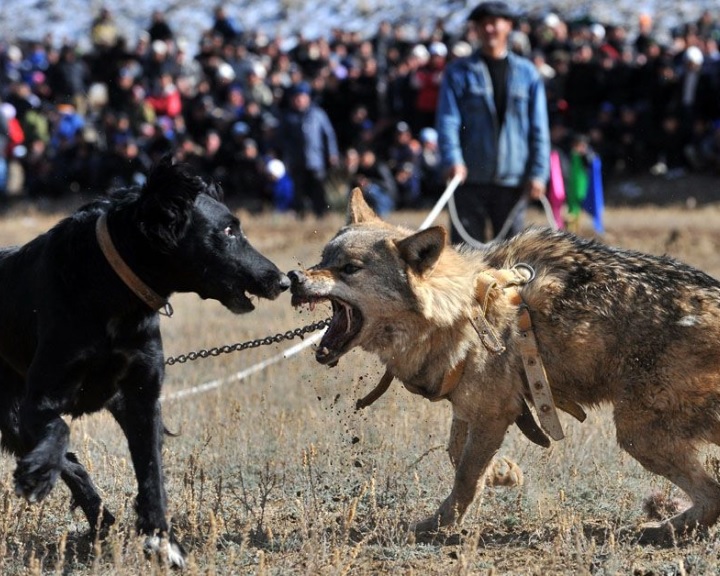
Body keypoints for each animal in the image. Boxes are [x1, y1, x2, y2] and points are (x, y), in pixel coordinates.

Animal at [0, 158, 290, 568]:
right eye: (228, 230)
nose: (282, 281)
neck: (111, 291)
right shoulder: (38, 400)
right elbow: (61, 431)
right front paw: (39, 474)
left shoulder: (140, 397)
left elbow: (152, 471)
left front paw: (160, 539)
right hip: (11, 413)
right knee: (65, 456)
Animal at [290, 189, 720, 544]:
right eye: (323, 259)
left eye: (349, 268)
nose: (292, 277)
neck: (462, 308)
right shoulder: (475, 407)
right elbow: (456, 454)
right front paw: (503, 472)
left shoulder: (494, 412)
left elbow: (464, 476)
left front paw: (439, 524)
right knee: (711, 494)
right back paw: (663, 528)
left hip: (637, 434)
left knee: (712, 493)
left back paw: (660, 530)